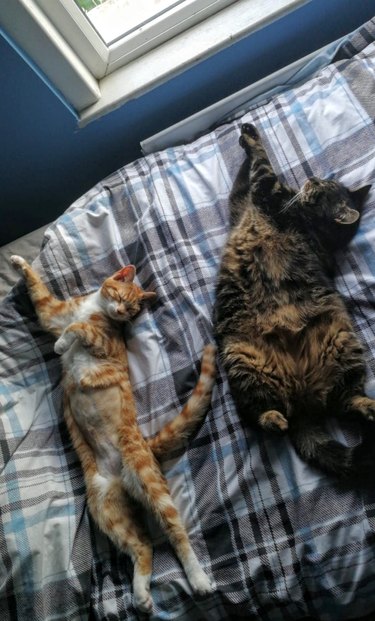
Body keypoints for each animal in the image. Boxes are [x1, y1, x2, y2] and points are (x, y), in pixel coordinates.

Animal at [11, 254, 217, 612]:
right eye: (121, 297)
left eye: (133, 310)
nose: (121, 313)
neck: (95, 307)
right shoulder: (53, 312)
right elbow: (39, 290)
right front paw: (19, 262)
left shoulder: (102, 341)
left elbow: (78, 329)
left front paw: (62, 343)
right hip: (107, 510)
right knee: (143, 545)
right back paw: (141, 594)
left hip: (147, 480)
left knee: (176, 532)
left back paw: (199, 579)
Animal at [213, 122, 374, 480]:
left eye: (324, 189)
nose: (312, 178)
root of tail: (302, 406)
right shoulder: (241, 200)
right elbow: (243, 175)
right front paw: (244, 131)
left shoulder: (266, 190)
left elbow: (262, 164)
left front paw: (251, 135)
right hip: (251, 357)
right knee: (339, 403)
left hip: (337, 344)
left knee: (260, 415)